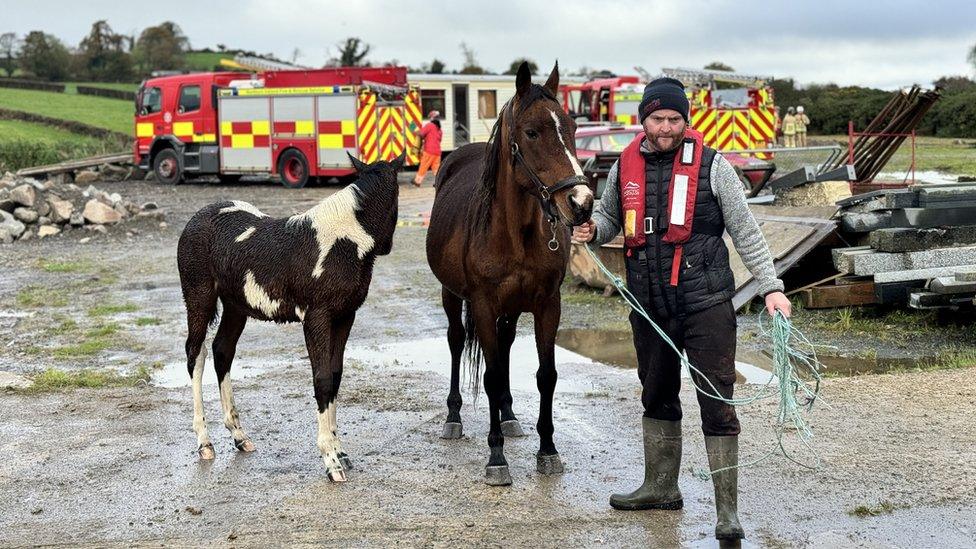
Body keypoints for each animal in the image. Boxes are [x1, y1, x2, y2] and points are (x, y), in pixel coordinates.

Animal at [177, 153, 402, 480]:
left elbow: (335, 375)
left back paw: (239, 435)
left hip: (235, 307)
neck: (341, 241)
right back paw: (204, 442)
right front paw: (330, 461)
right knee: (196, 355)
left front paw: (341, 452)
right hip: (199, 300)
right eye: (397, 193)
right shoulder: (316, 317)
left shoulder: (345, 316)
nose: (387, 246)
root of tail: (194, 220)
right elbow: (322, 378)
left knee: (223, 351)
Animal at [428, 62, 596, 486]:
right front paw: (496, 457)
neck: (514, 233)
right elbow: (487, 377)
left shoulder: (547, 305)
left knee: (502, 349)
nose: (582, 204)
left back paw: (508, 414)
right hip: (452, 295)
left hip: (512, 308)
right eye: (532, 132)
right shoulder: (484, 305)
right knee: (457, 341)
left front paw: (548, 450)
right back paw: (454, 417)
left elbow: (545, 375)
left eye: (572, 127)